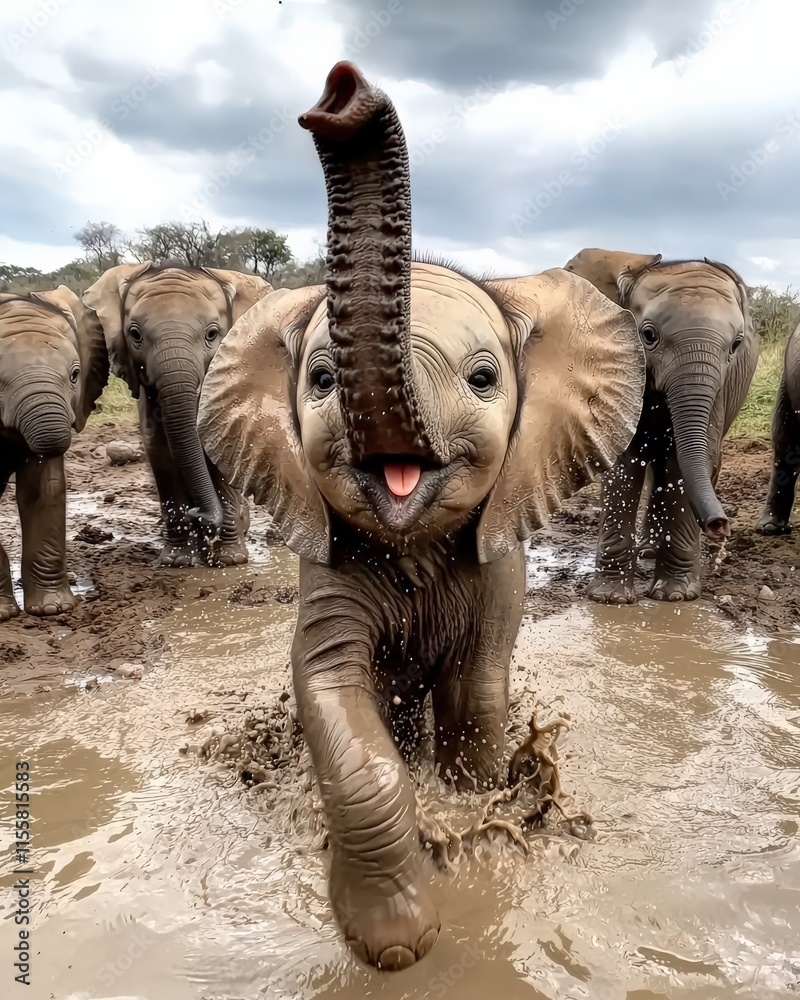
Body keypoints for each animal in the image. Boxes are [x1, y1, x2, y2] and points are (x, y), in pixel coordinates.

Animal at [82, 262, 271, 566]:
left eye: (212, 334)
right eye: (135, 335)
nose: (200, 514)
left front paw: (229, 561)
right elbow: (159, 451)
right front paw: (177, 560)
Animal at [196, 61, 645, 970]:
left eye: (483, 379)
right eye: (320, 380)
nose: (339, 93)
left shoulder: (499, 559)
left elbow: (476, 695)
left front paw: (476, 828)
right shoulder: (326, 563)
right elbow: (333, 690)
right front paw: (398, 944)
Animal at [563, 248, 759, 603]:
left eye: (736, 345)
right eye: (648, 336)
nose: (719, 525)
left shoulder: (721, 389)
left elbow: (683, 463)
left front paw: (675, 597)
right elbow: (624, 462)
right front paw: (610, 599)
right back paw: (648, 552)